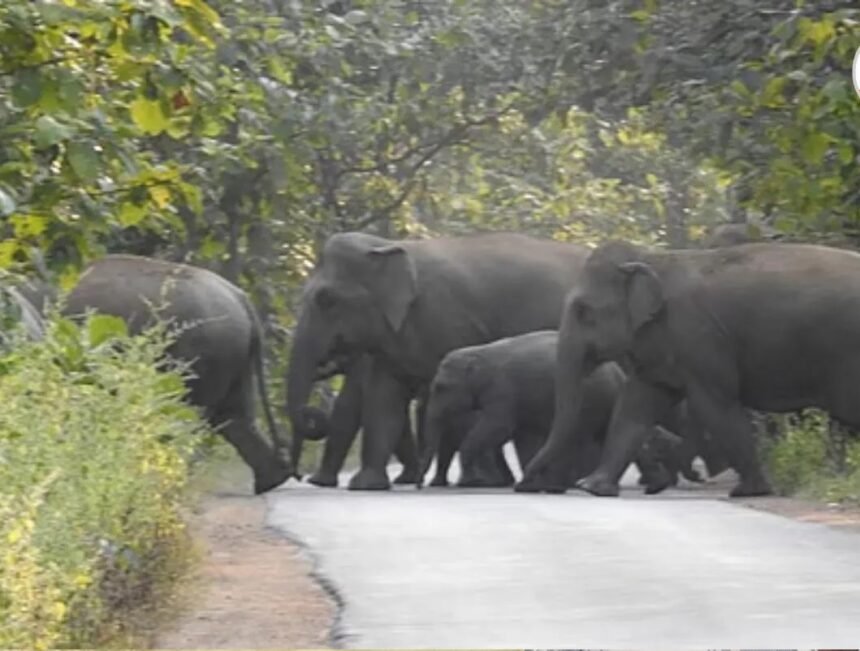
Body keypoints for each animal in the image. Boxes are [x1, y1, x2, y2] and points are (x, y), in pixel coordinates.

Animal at [63, 254, 293, 495]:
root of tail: (243, 301)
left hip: (207, 354)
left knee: (195, 414)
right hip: (236, 357)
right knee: (235, 417)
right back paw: (270, 481)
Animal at [287, 231, 592, 490]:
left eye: (326, 300)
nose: (298, 475)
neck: (389, 245)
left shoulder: (454, 324)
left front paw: (477, 481)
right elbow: (383, 402)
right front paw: (367, 485)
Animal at [417, 330, 704, 494]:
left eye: (441, 387)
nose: (419, 485)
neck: (479, 351)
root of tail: (617, 373)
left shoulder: (502, 391)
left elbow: (498, 428)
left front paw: (471, 482)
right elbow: (523, 437)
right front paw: (529, 486)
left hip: (591, 400)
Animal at [523, 239, 860, 498]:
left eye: (583, 311)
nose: (525, 484)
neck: (651, 258)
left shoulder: (700, 336)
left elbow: (716, 406)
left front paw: (750, 491)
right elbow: (634, 408)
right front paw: (594, 487)